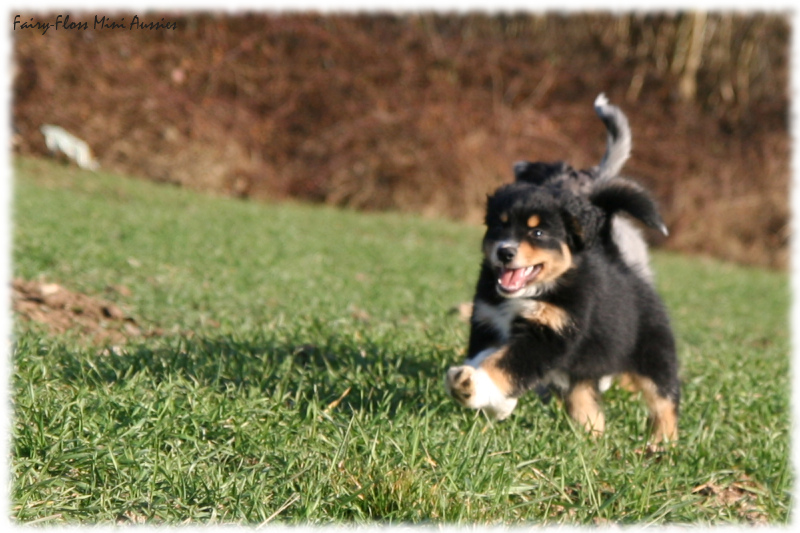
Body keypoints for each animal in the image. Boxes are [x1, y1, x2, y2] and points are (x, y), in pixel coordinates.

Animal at [444, 177, 680, 442]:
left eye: (538, 232)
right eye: (499, 227)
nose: (504, 252)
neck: (530, 293)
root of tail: (623, 266)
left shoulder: (550, 333)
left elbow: (507, 362)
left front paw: (472, 386)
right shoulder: (488, 322)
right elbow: (487, 357)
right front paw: (496, 403)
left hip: (652, 355)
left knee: (665, 399)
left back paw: (663, 442)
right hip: (583, 372)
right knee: (588, 408)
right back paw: (591, 438)